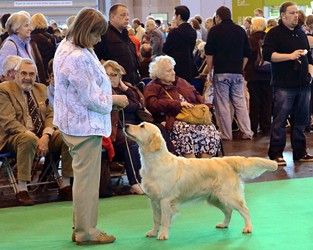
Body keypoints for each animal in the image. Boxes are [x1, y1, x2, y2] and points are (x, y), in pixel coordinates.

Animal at [123, 122, 276, 239]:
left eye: (142, 126)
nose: (125, 125)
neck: (154, 161)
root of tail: (225, 160)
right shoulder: (154, 200)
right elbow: (156, 219)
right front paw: (153, 232)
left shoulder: (165, 200)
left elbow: (164, 220)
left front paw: (163, 235)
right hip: (215, 198)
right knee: (228, 211)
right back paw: (224, 224)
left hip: (228, 195)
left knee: (244, 209)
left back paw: (248, 227)